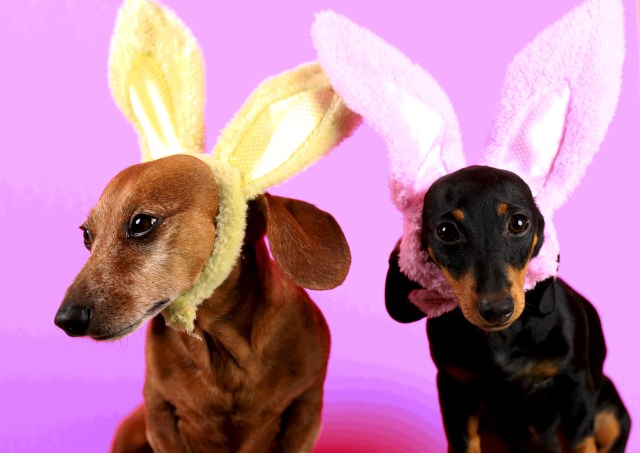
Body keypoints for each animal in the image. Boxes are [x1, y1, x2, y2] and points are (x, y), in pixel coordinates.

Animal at [386, 165, 630, 452]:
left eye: (519, 223)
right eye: (446, 231)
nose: (496, 309)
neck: (502, 338)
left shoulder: (575, 384)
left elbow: (580, 441)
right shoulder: (452, 388)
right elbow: (464, 441)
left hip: (612, 414)